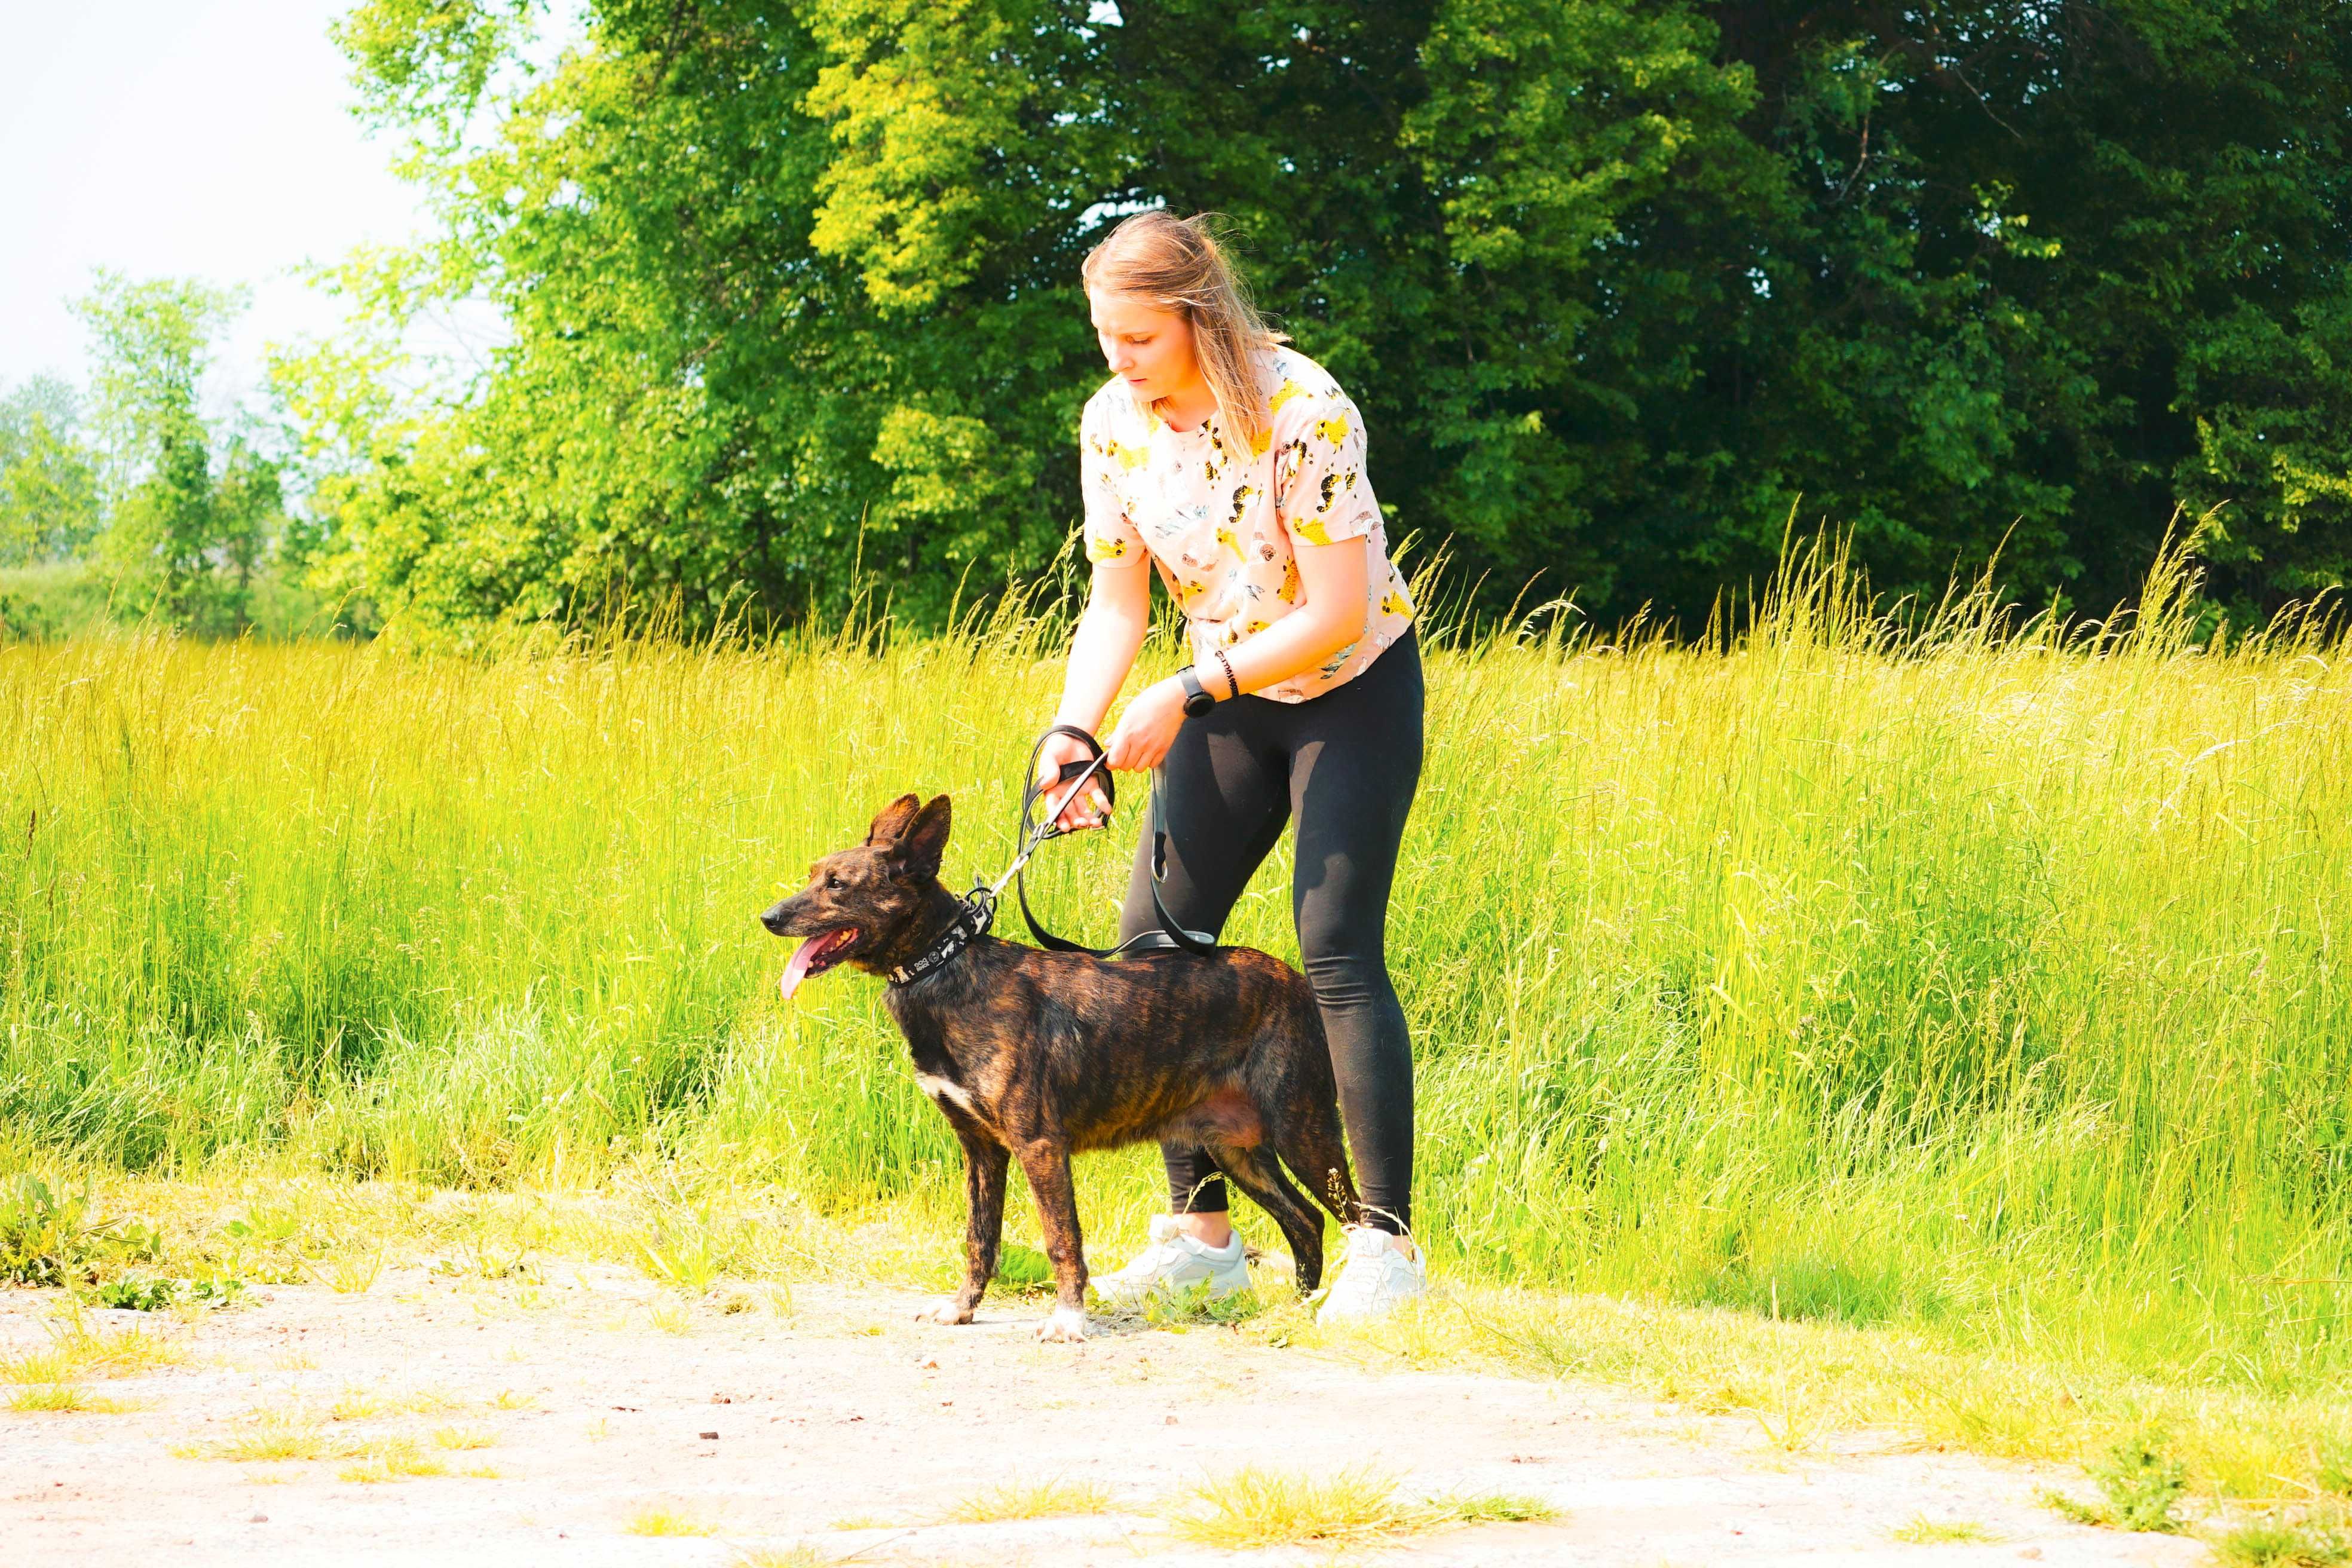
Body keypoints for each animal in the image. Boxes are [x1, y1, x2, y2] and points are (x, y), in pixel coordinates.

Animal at [767, 799, 1364, 1335]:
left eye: (838, 885)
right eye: (814, 875)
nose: (768, 917)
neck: (948, 967)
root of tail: (1298, 983)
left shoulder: (1040, 1147)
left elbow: (1062, 1240)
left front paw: (1069, 1319)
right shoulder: (982, 1151)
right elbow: (979, 1239)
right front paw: (962, 1308)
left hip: (1304, 1133)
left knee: (1356, 1216)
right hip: (1236, 1151)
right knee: (1307, 1221)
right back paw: (1297, 1309)